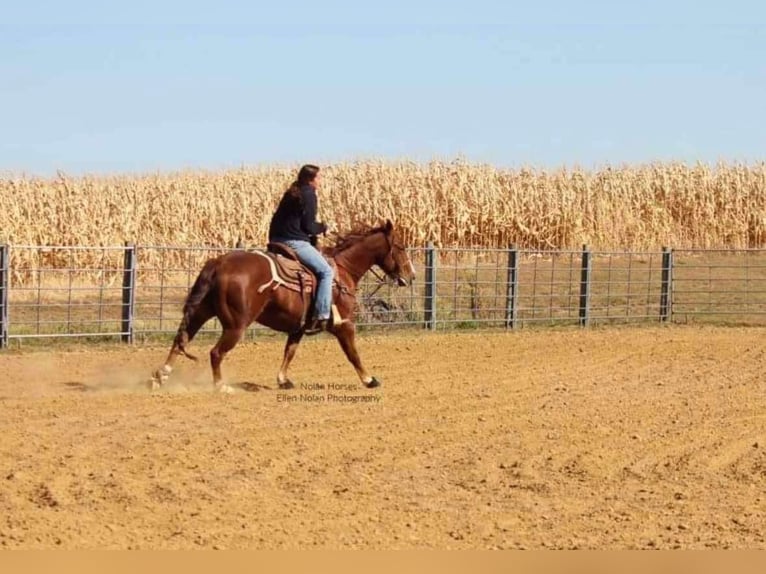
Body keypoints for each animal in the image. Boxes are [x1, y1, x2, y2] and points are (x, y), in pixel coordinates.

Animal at [148, 218, 416, 394]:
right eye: (401, 247)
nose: (411, 276)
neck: (343, 270)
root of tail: (219, 262)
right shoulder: (344, 324)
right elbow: (353, 354)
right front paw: (369, 380)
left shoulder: (298, 327)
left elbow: (289, 352)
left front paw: (283, 380)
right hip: (235, 326)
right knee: (215, 352)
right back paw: (221, 386)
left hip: (202, 312)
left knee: (180, 339)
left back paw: (161, 376)